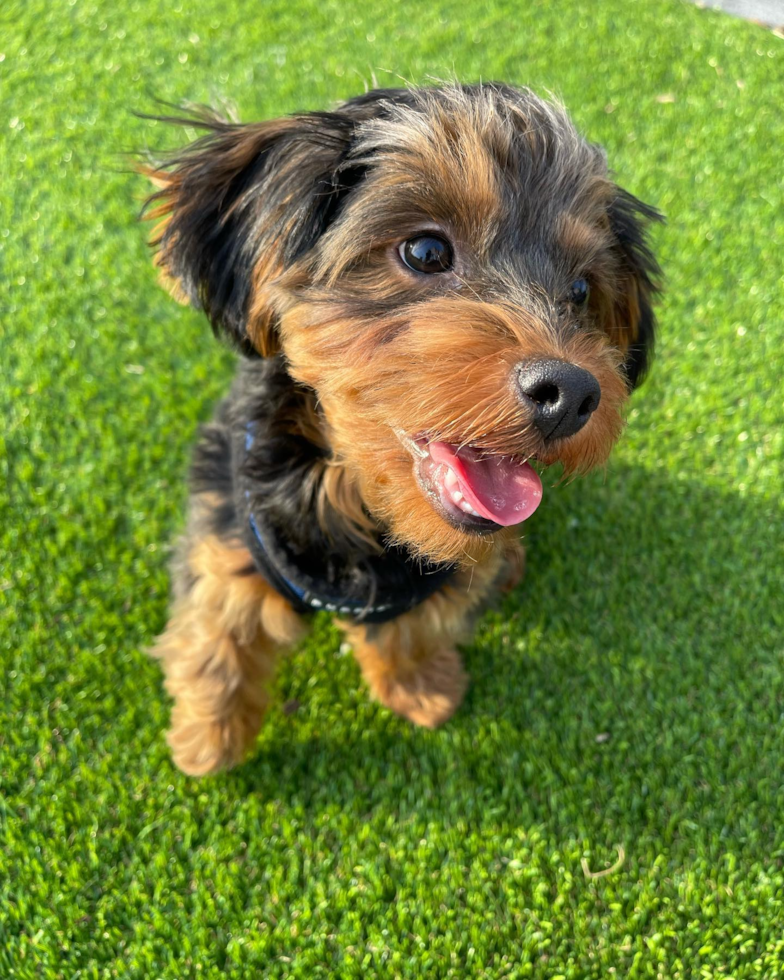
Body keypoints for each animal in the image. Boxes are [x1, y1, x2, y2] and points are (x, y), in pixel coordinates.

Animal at [142, 84, 660, 772]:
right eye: (425, 251)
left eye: (579, 290)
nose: (572, 392)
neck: (357, 502)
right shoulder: (227, 526)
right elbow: (215, 632)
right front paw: (210, 739)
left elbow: (413, 631)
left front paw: (417, 686)